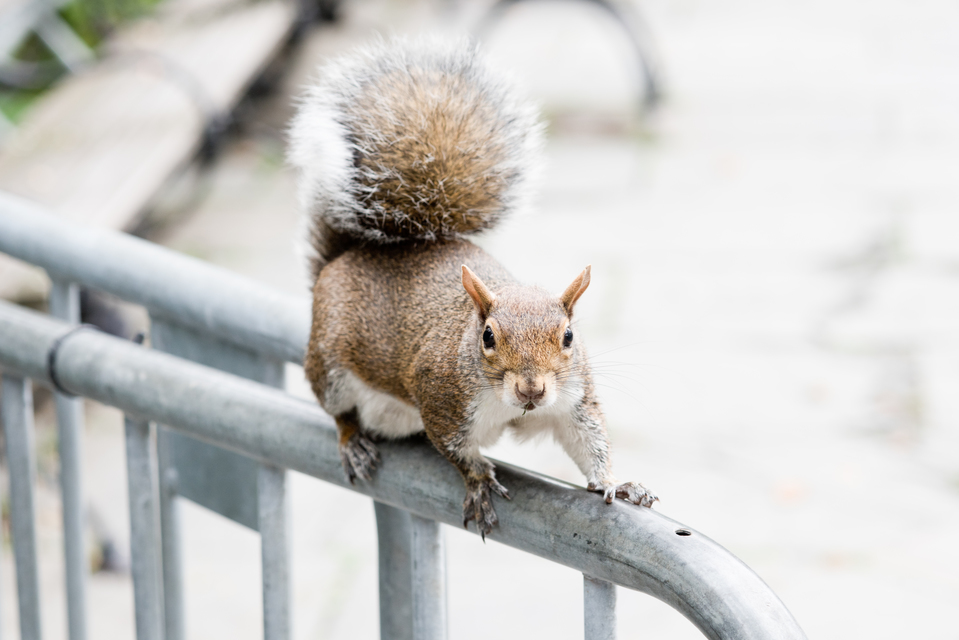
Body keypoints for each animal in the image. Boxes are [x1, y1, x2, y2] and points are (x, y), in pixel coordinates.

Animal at [289, 37, 656, 538]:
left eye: (568, 336)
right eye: (487, 337)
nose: (531, 390)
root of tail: (342, 260)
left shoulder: (573, 400)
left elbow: (589, 442)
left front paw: (616, 484)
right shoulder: (440, 400)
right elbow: (457, 452)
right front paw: (480, 481)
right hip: (329, 365)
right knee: (339, 411)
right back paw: (353, 443)